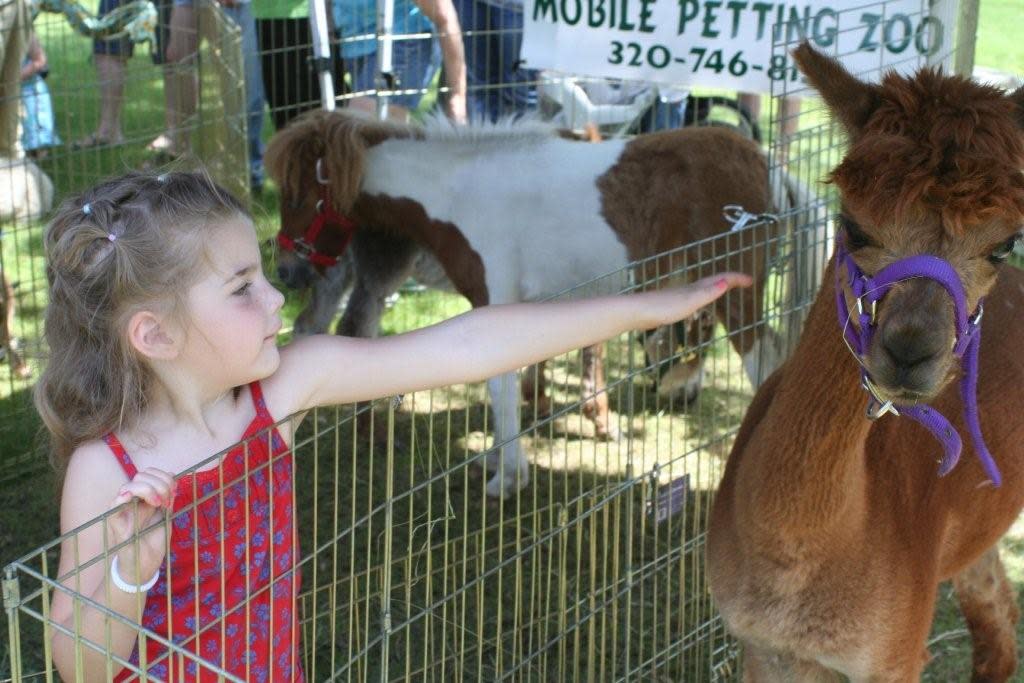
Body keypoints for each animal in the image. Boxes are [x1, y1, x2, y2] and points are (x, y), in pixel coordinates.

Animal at [268, 111, 786, 497]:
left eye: (295, 196)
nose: (286, 271)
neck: (460, 194)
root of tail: (761, 160)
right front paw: (497, 458)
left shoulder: (497, 302)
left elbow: (502, 386)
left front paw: (508, 477)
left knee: (763, 362)